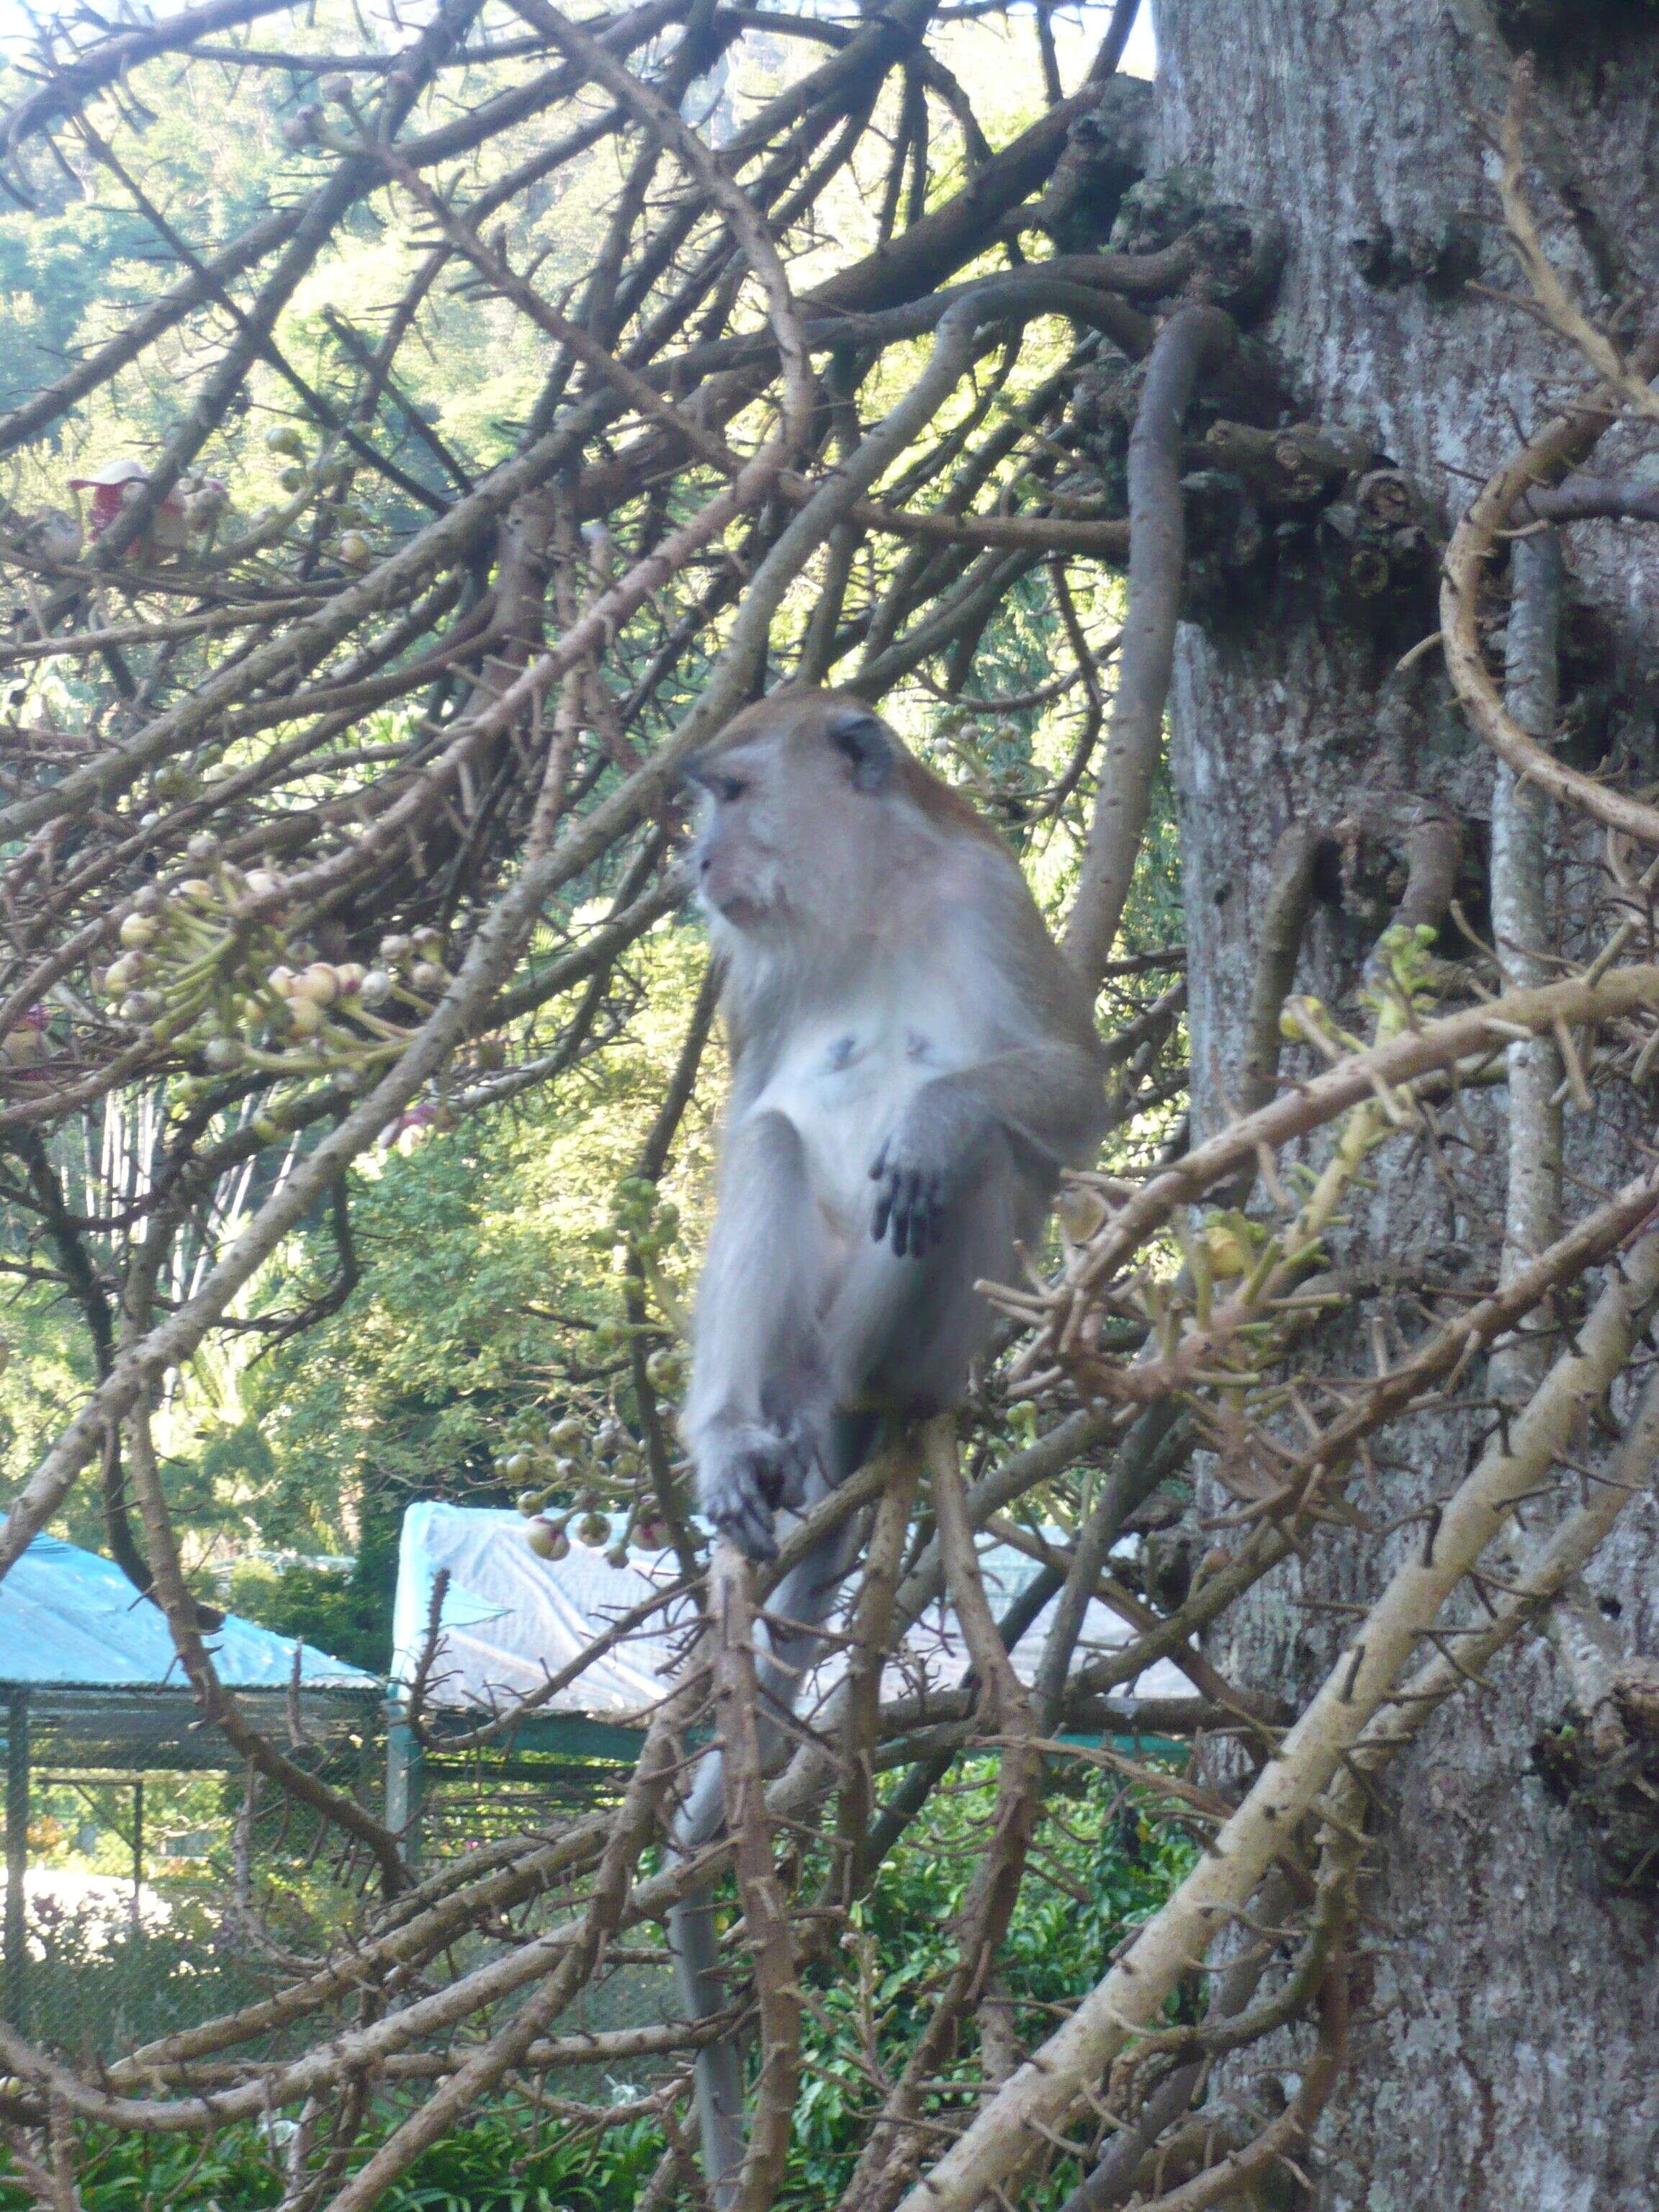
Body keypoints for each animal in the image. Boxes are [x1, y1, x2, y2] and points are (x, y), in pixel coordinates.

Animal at [667, 681, 1119, 2203]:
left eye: (731, 791)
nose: (693, 861)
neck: (862, 905)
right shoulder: (755, 980)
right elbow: (744, 1125)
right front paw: (716, 1454)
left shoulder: (986, 897)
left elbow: (1064, 1089)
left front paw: (935, 1110)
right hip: (785, 1352)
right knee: (767, 1143)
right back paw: (759, 1453)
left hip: (939, 1334)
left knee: (954, 1176)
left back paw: (872, 1400)